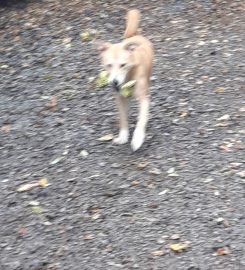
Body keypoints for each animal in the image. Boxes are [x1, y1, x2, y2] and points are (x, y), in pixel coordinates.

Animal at [97, 8, 153, 151]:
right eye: (108, 65)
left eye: (123, 65)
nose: (114, 82)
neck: (128, 77)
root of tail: (133, 36)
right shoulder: (119, 99)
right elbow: (123, 118)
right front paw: (123, 136)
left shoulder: (144, 99)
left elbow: (142, 119)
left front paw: (137, 139)